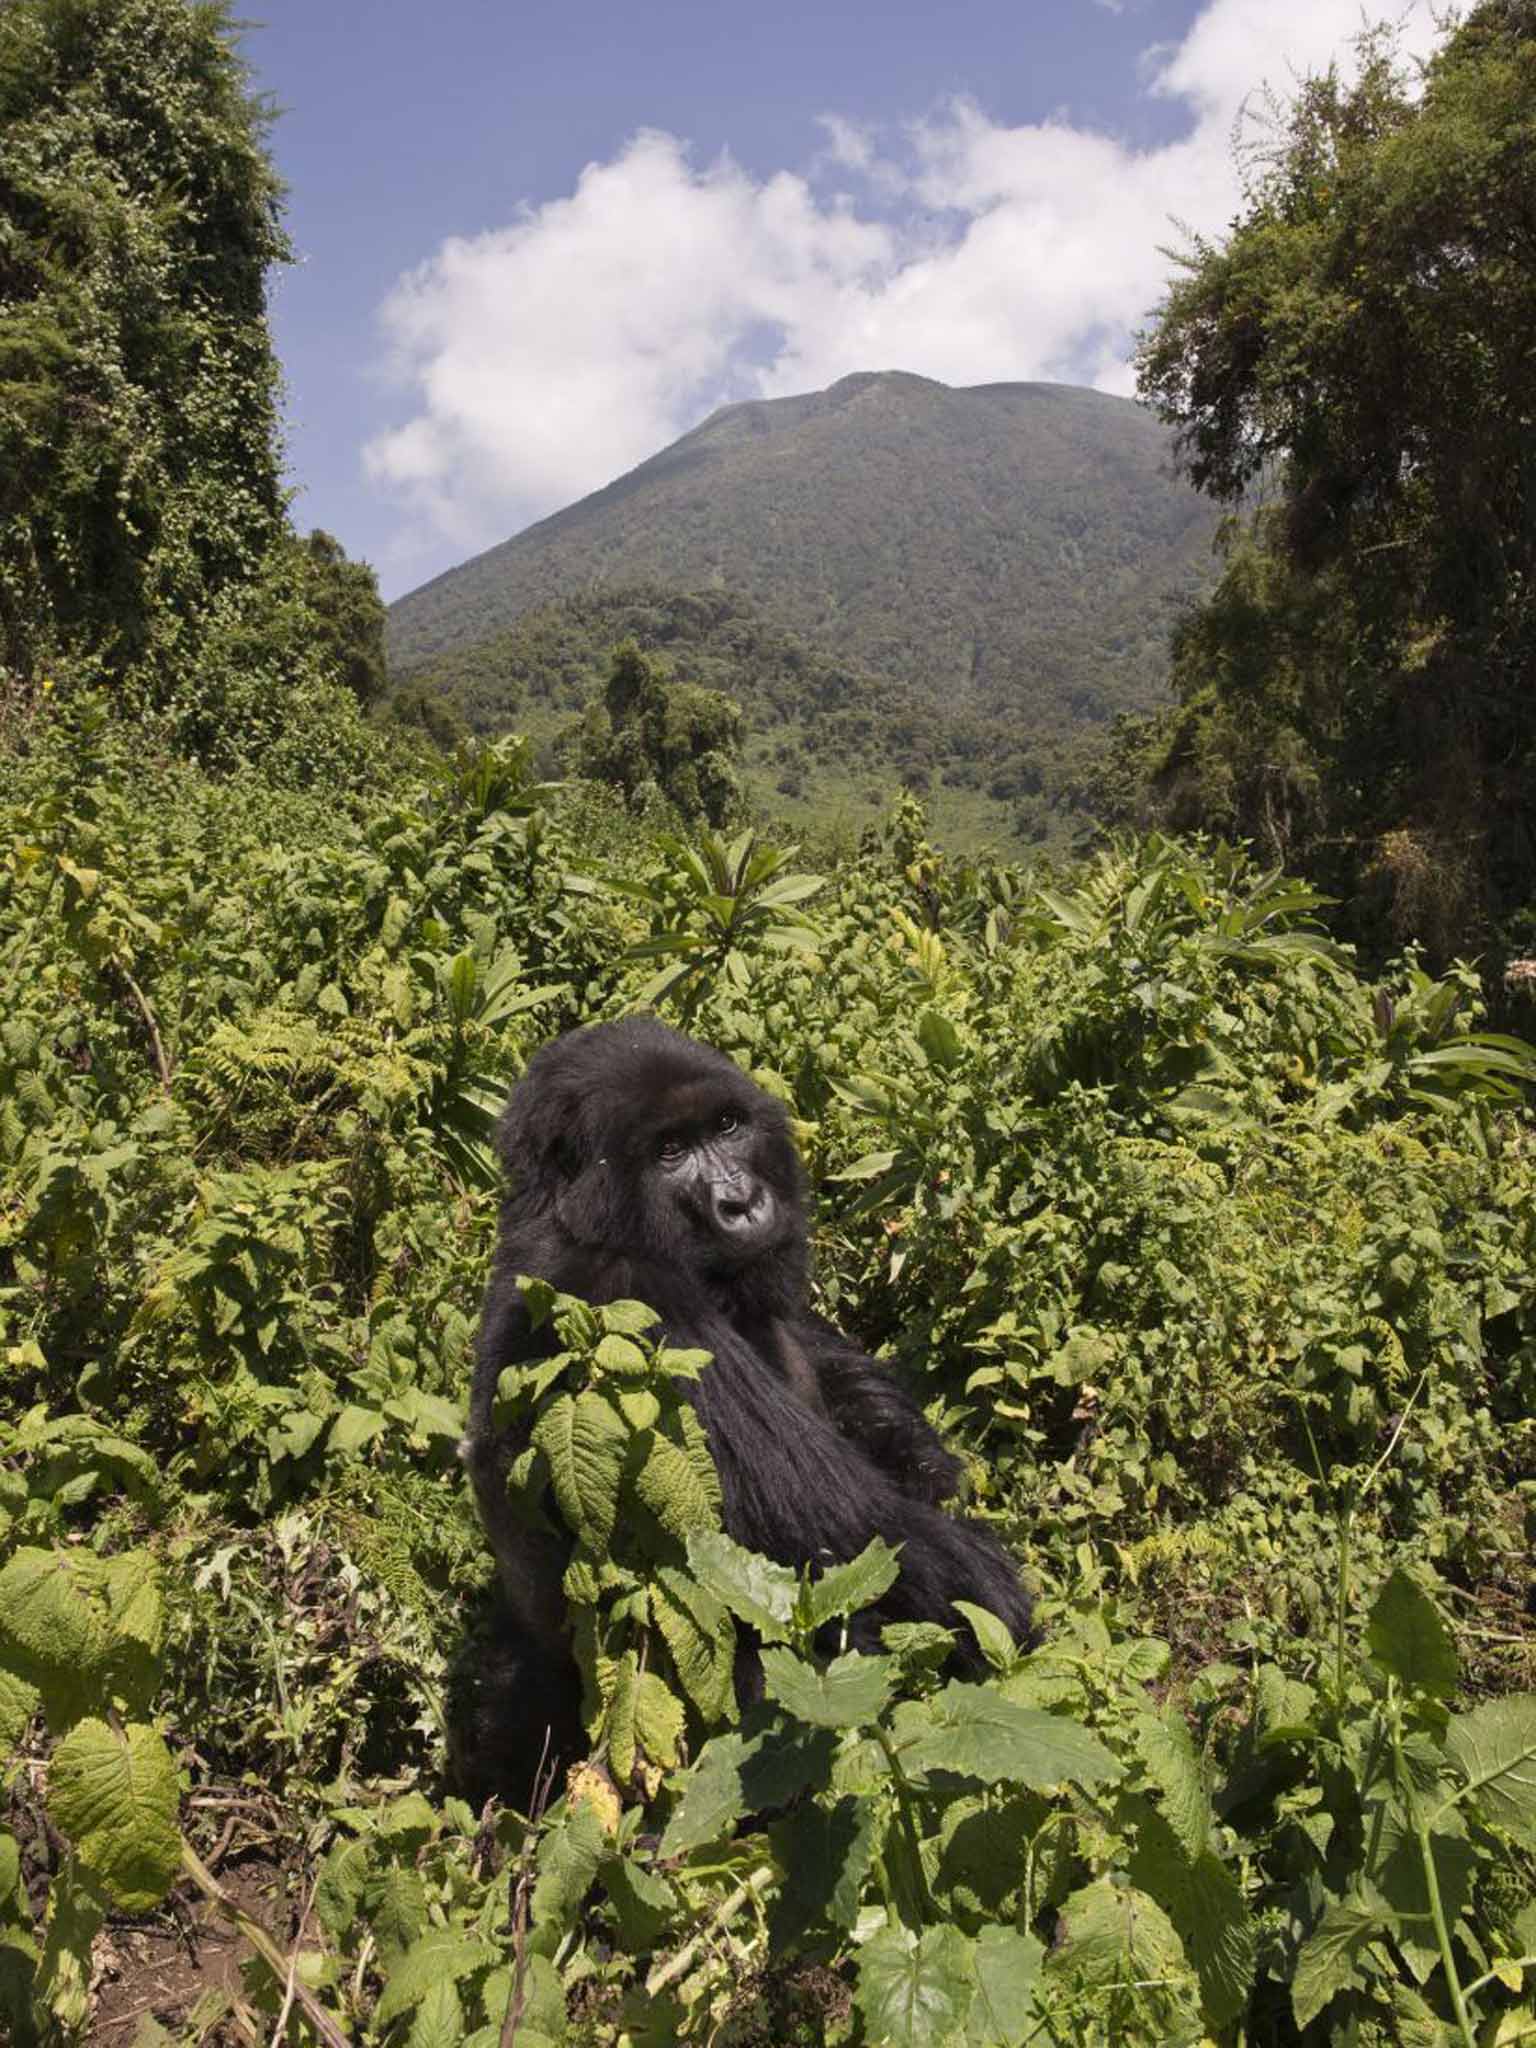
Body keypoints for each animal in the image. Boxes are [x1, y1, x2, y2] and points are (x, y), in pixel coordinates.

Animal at [456, 1015, 1036, 1802]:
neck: (577, 1218)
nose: (741, 1202)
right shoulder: (638, 1312)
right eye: (669, 1152)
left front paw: (915, 1452)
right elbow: (872, 1541)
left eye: (726, 1126)